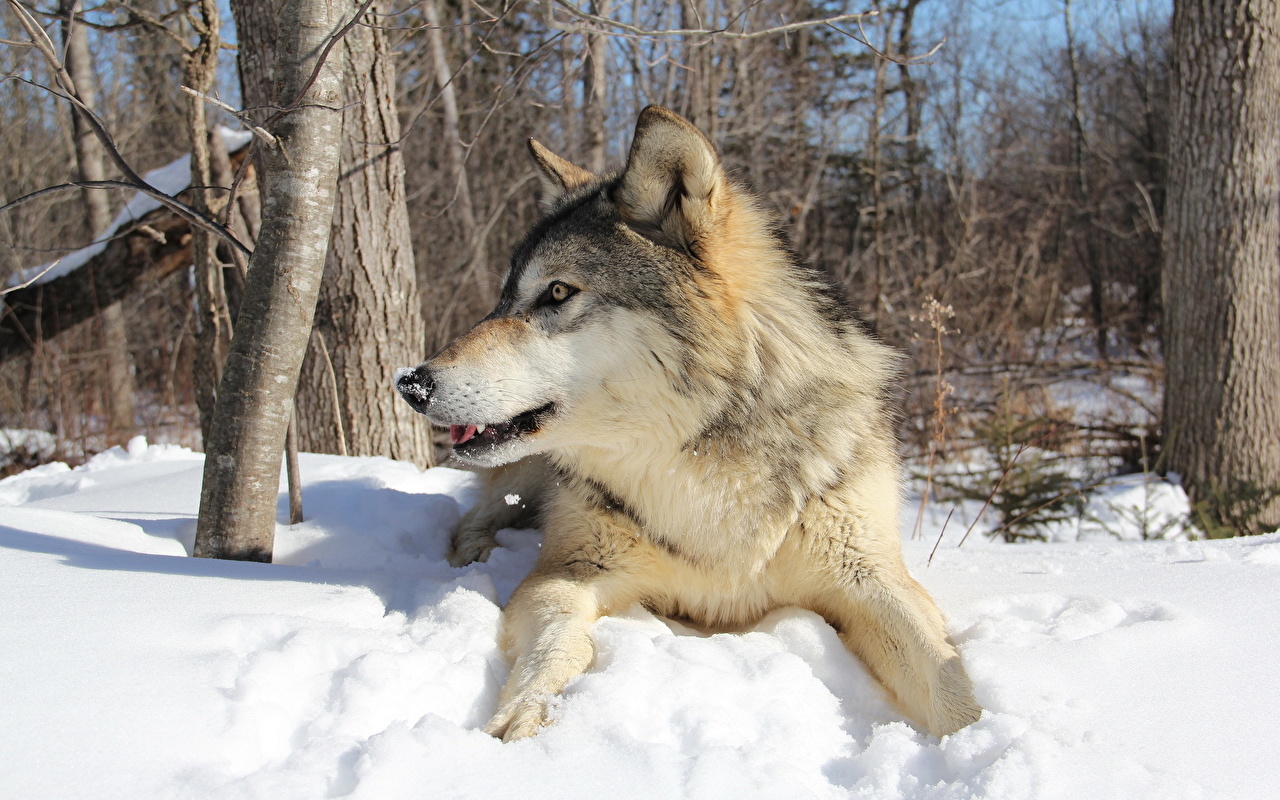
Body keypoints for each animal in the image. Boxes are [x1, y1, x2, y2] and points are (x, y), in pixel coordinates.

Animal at [396, 107, 982, 741]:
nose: (411, 384)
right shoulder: (567, 570)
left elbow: (947, 680)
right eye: (504, 298)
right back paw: (474, 555)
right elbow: (557, 642)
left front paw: (976, 743)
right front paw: (525, 712)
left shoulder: (874, 579)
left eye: (556, 292)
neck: (699, 458)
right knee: (473, 518)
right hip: (525, 475)